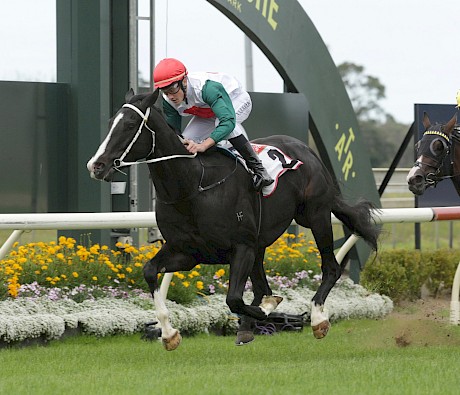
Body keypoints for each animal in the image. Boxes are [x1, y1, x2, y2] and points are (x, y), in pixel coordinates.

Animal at [88, 89, 380, 350]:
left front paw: (271, 311)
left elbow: (235, 299)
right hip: (262, 240)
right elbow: (150, 271)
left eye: (129, 125)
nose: (96, 165)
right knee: (261, 285)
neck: (193, 187)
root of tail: (306, 150)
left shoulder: (241, 247)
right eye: (110, 122)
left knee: (330, 268)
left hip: (315, 216)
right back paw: (250, 326)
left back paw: (317, 317)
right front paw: (169, 334)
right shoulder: (186, 252)